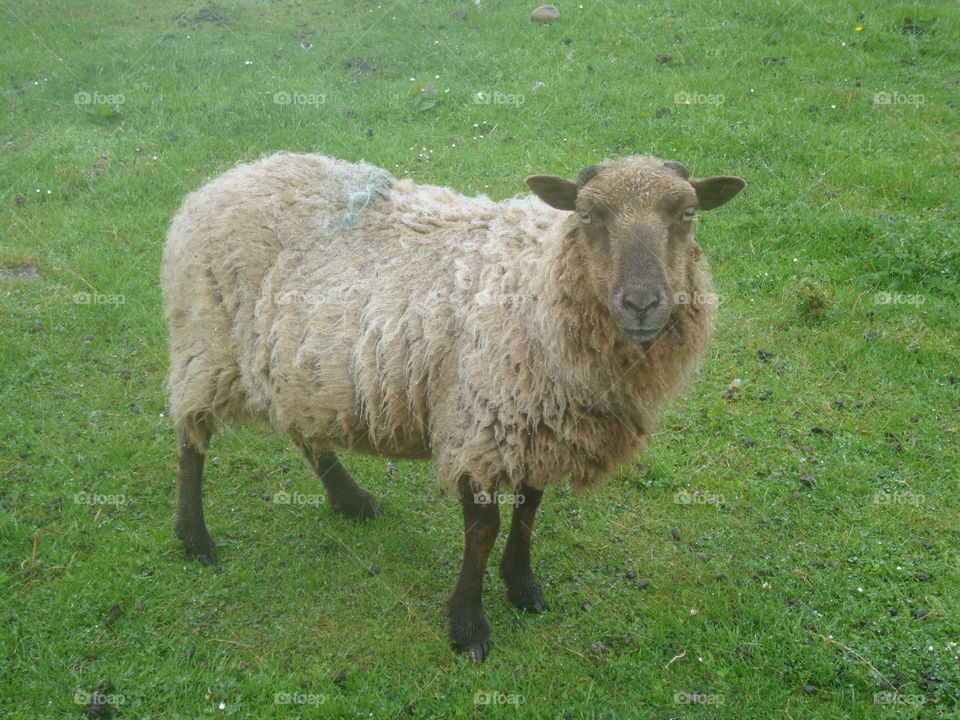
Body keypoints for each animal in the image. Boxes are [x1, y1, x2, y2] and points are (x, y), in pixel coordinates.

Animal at [161, 152, 745, 661]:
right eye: (587, 214)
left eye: (688, 213)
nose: (642, 304)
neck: (536, 282)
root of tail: (226, 179)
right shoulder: (478, 421)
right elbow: (483, 530)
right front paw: (468, 625)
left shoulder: (536, 422)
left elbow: (530, 508)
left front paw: (522, 585)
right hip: (207, 343)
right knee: (190, 437)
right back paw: (194, 537)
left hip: (298, 363)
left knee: (302, 429)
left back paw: (349, 499)